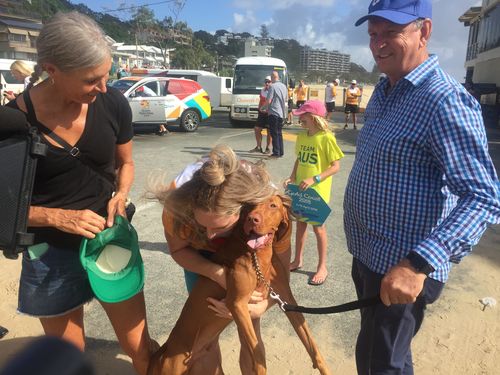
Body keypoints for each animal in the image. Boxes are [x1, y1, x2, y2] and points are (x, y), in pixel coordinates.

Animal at [148, 197, 332, 375]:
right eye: (250, 206)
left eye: (272, 205)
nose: (252, 219)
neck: (258, 253)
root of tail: (163, 351)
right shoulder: (237, 303)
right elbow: (258, 356)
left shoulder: (285, 297)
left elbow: (310, 341)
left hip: (208, 366)